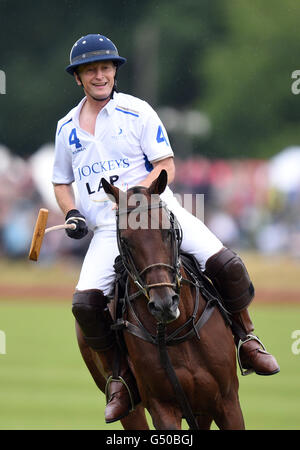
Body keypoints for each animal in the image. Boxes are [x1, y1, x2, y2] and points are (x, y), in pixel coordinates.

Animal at [76, 171, 245, 430]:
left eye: (167, 231)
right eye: (126, 240)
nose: (164, 304)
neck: (177, 330)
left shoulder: (227, 401)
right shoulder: (162, 406)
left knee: (228, 265)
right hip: (127, 403)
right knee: (85, 305)